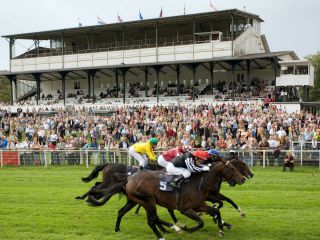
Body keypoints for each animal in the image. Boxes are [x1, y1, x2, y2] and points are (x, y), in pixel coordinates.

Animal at [115, 160, 245, 239]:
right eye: (232, 168)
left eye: (235, 167)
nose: (243, 179)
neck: (200, 183)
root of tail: (130, 178)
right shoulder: (186, 209)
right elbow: (201, 222)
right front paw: (188, 229)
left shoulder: (200, 206)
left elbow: (216, 211)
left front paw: (221, 229)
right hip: (148, 201)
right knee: (152, 219)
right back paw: (171, 230)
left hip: (138, 201)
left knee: (131, 213)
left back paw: (117, 229)